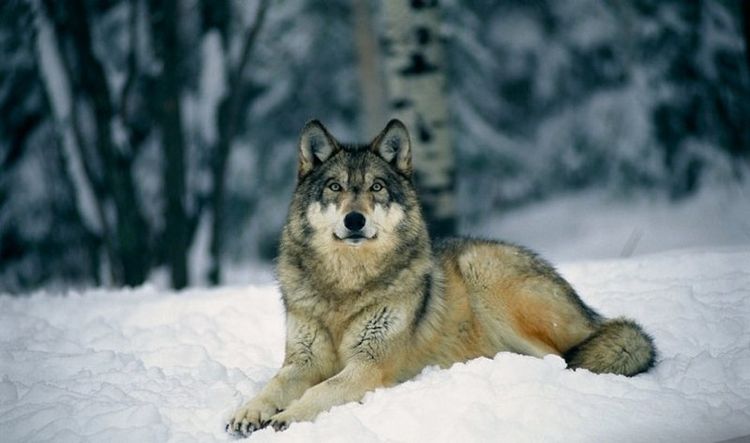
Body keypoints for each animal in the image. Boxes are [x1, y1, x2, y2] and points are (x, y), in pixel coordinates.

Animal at [227, 119, 656, 436]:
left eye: (376, 187)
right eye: (335, 187)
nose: (355, 220)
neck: (346, 286)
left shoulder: (368, 366)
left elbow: (321, 390)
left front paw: (286, 417)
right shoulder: (303, 361)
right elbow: (273, 385)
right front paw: (248, 412)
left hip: (485, 275)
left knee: (560, 357)